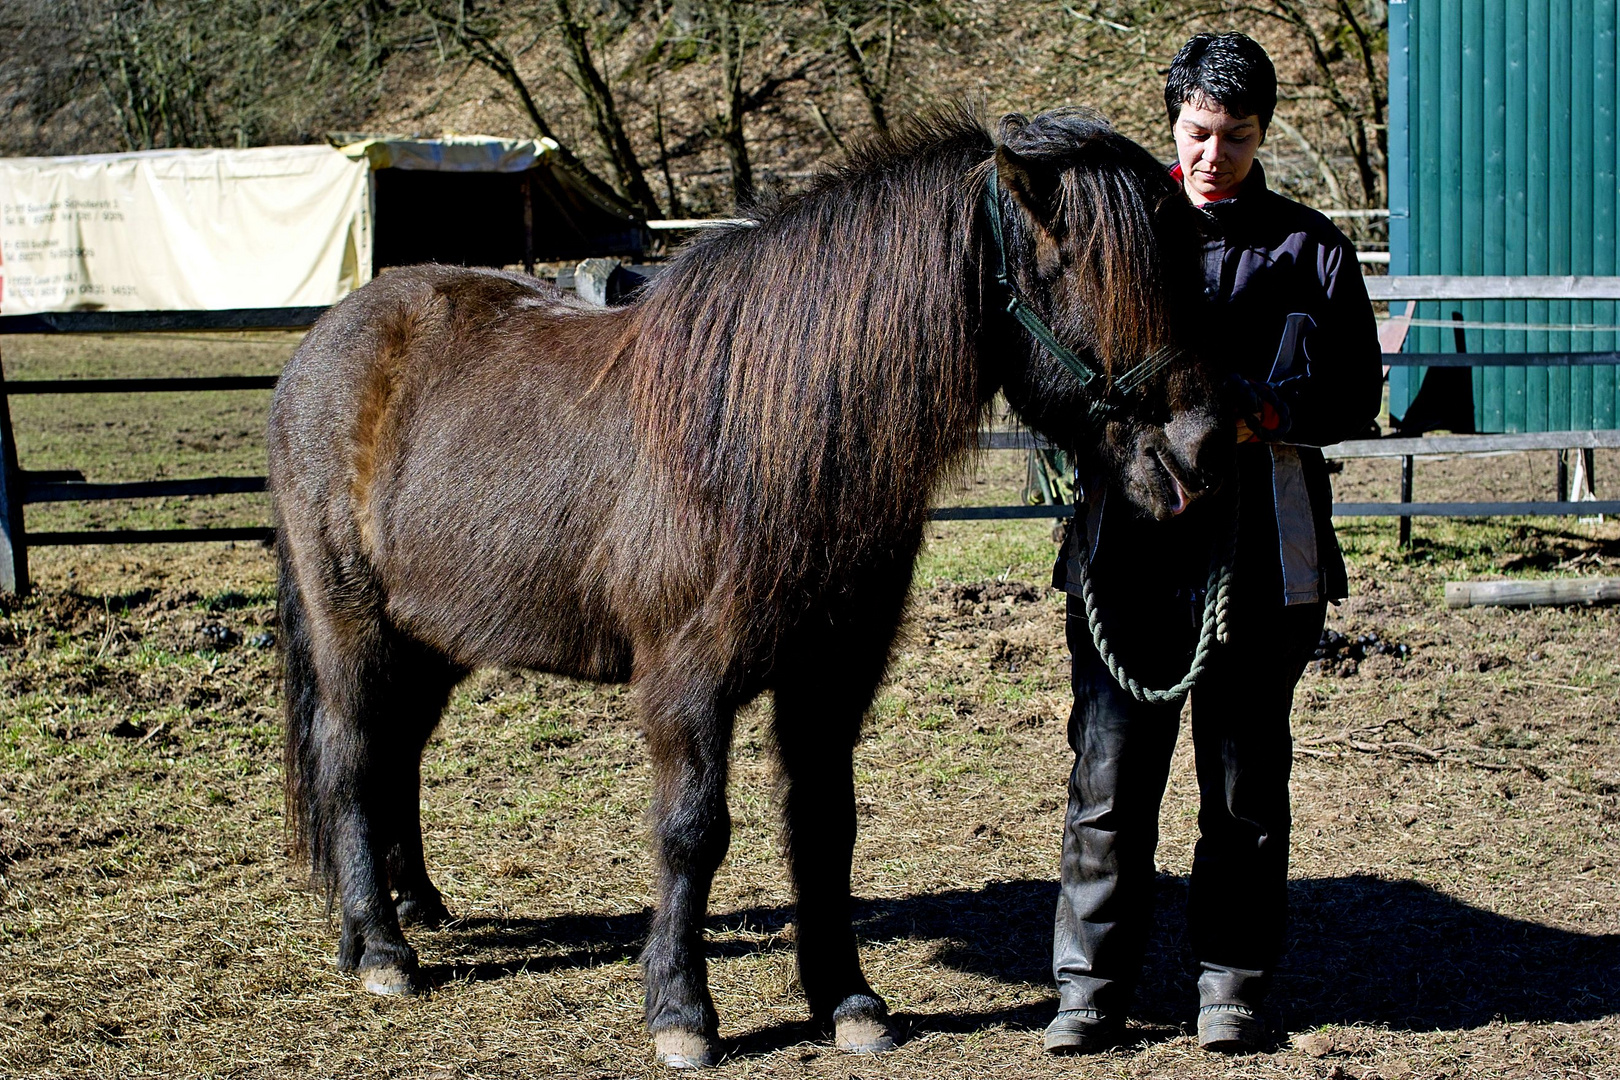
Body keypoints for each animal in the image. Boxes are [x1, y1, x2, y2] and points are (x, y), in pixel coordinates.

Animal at [268, 105, 1224, 1068]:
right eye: (1088, 269)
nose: (1198, 454)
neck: (757, 442)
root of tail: (323, 346)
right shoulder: (687, 685)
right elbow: (693, 832)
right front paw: (681, 1011)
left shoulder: (831, 679)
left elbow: (826, 826)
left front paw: (847, 1000)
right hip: (353, 624)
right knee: (351, 755)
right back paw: (380, 947)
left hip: (430, 636)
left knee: (397, 753)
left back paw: (418, 905)